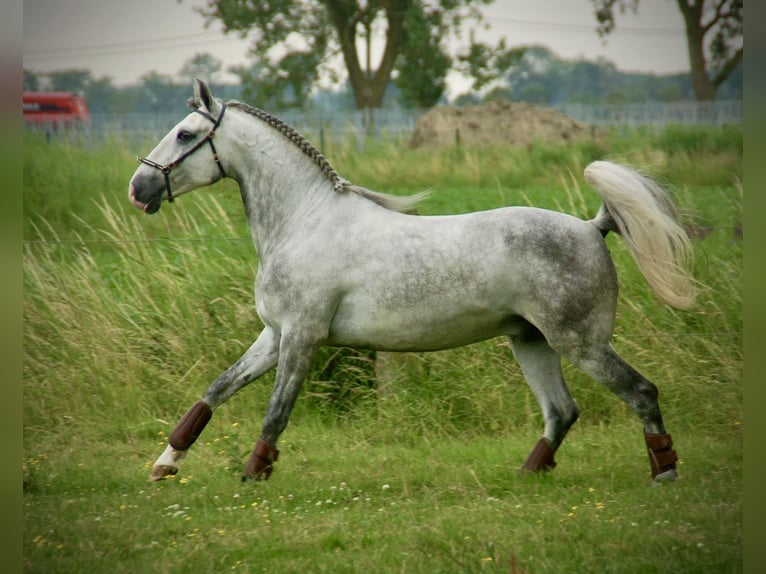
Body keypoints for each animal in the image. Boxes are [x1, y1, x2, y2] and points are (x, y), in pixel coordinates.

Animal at [130, 81, 696, 486]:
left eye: (185, 135)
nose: (140, 187)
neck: (303, 221)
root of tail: (590, 227)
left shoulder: (301, 338)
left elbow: (275, 413)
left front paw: (253, 475)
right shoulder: (274, 336)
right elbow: (214, 391)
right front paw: (165, 464)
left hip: (581, 343)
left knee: (640, 393)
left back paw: (664, 473)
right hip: (532, 342)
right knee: (561, 411)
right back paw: (527, 476)